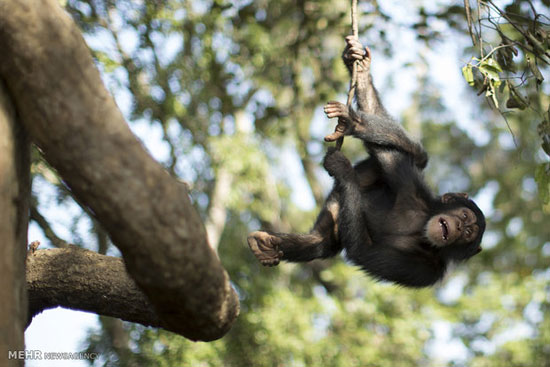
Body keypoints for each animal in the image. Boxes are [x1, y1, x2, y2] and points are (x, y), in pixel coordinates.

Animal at [248, 36, 486, 288]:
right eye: (464, 217)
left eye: (468, 233)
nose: (459, 227)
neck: (422, 224)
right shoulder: (407, 180)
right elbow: (388, 152)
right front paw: (354, 119)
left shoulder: (427, 270)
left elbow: (364, 251)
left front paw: (342, 167)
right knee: (416, 155)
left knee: (320, 242)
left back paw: (270, 246)